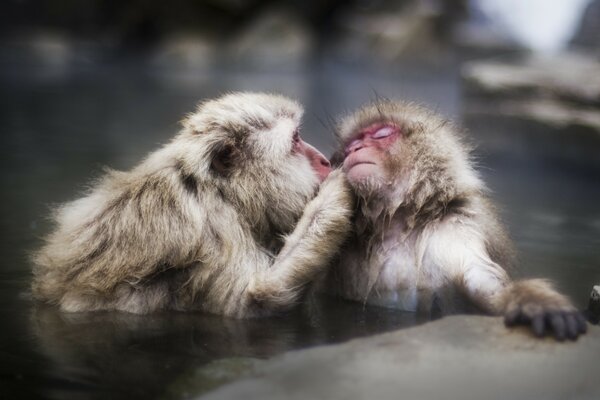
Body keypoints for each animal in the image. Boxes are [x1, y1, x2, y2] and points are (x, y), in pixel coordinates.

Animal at [32, 92, 354, 318]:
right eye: (296, 140)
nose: (324, 160)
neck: (222, 192)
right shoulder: (215, 231)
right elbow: (254, 299)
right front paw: (335, 192)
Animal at [326, 100, 588, 340]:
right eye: (349, 146)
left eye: (381, 134)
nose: (354, 149)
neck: (396, 225)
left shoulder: (455, 226)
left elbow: (481, 277)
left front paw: (533, 300)